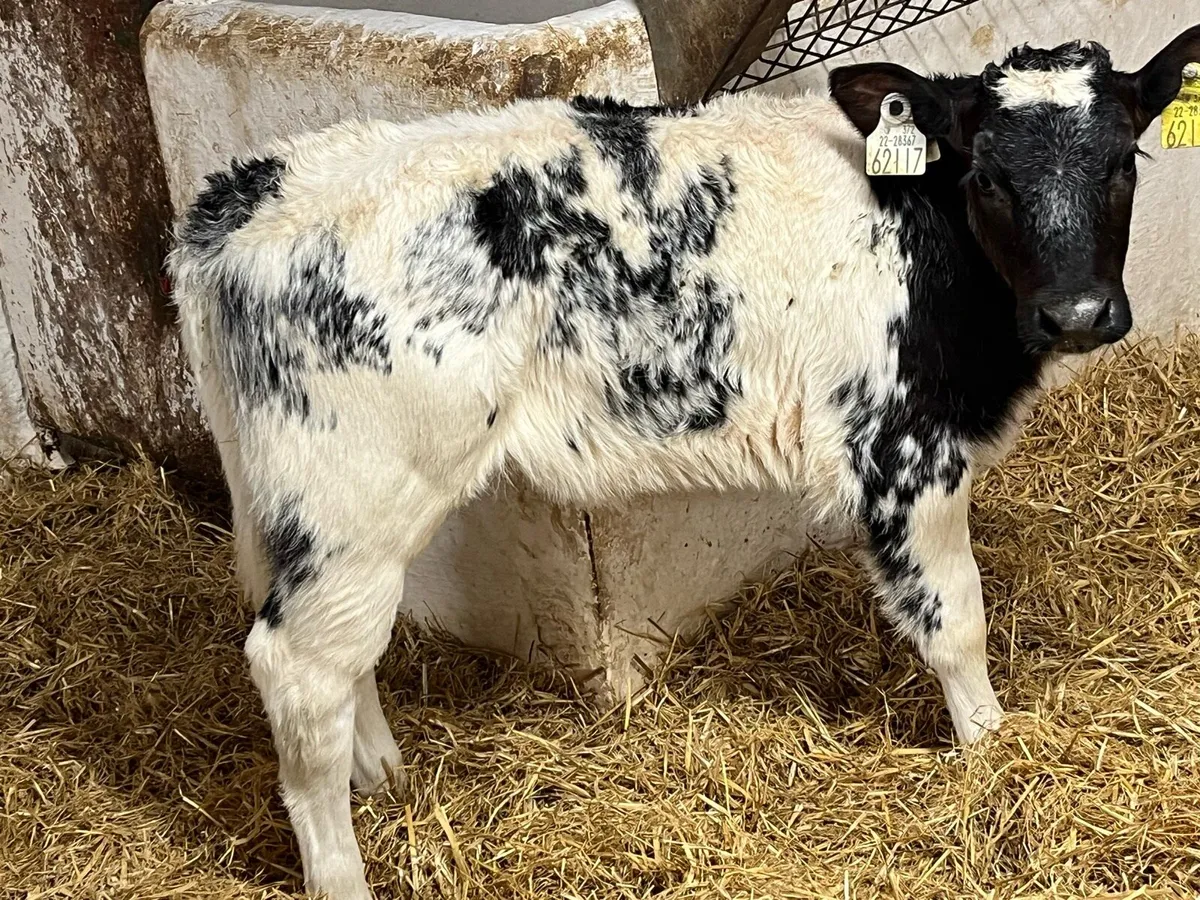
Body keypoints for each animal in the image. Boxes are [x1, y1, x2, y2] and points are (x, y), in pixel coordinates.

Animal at [167, 26, 1200, 899]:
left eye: (1125, 161)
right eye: (986, 174)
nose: (1077, 313)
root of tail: (243, 201)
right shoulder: (905, 452)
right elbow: (956, 620)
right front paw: (991, 750)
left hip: (314, 506)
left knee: (331, 650)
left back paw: (379, 770)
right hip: (357, 492)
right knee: (298, 667)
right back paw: (343, 871)